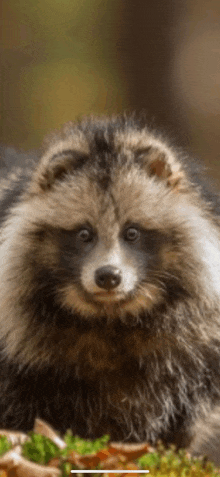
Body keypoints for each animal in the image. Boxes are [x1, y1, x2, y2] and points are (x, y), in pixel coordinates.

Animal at [0, 115, 220, 462]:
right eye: (83, 234)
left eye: (132, 232)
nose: (108, 276)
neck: (111, 317)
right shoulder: (19, 344)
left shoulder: (196, 345)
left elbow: (188, 409)